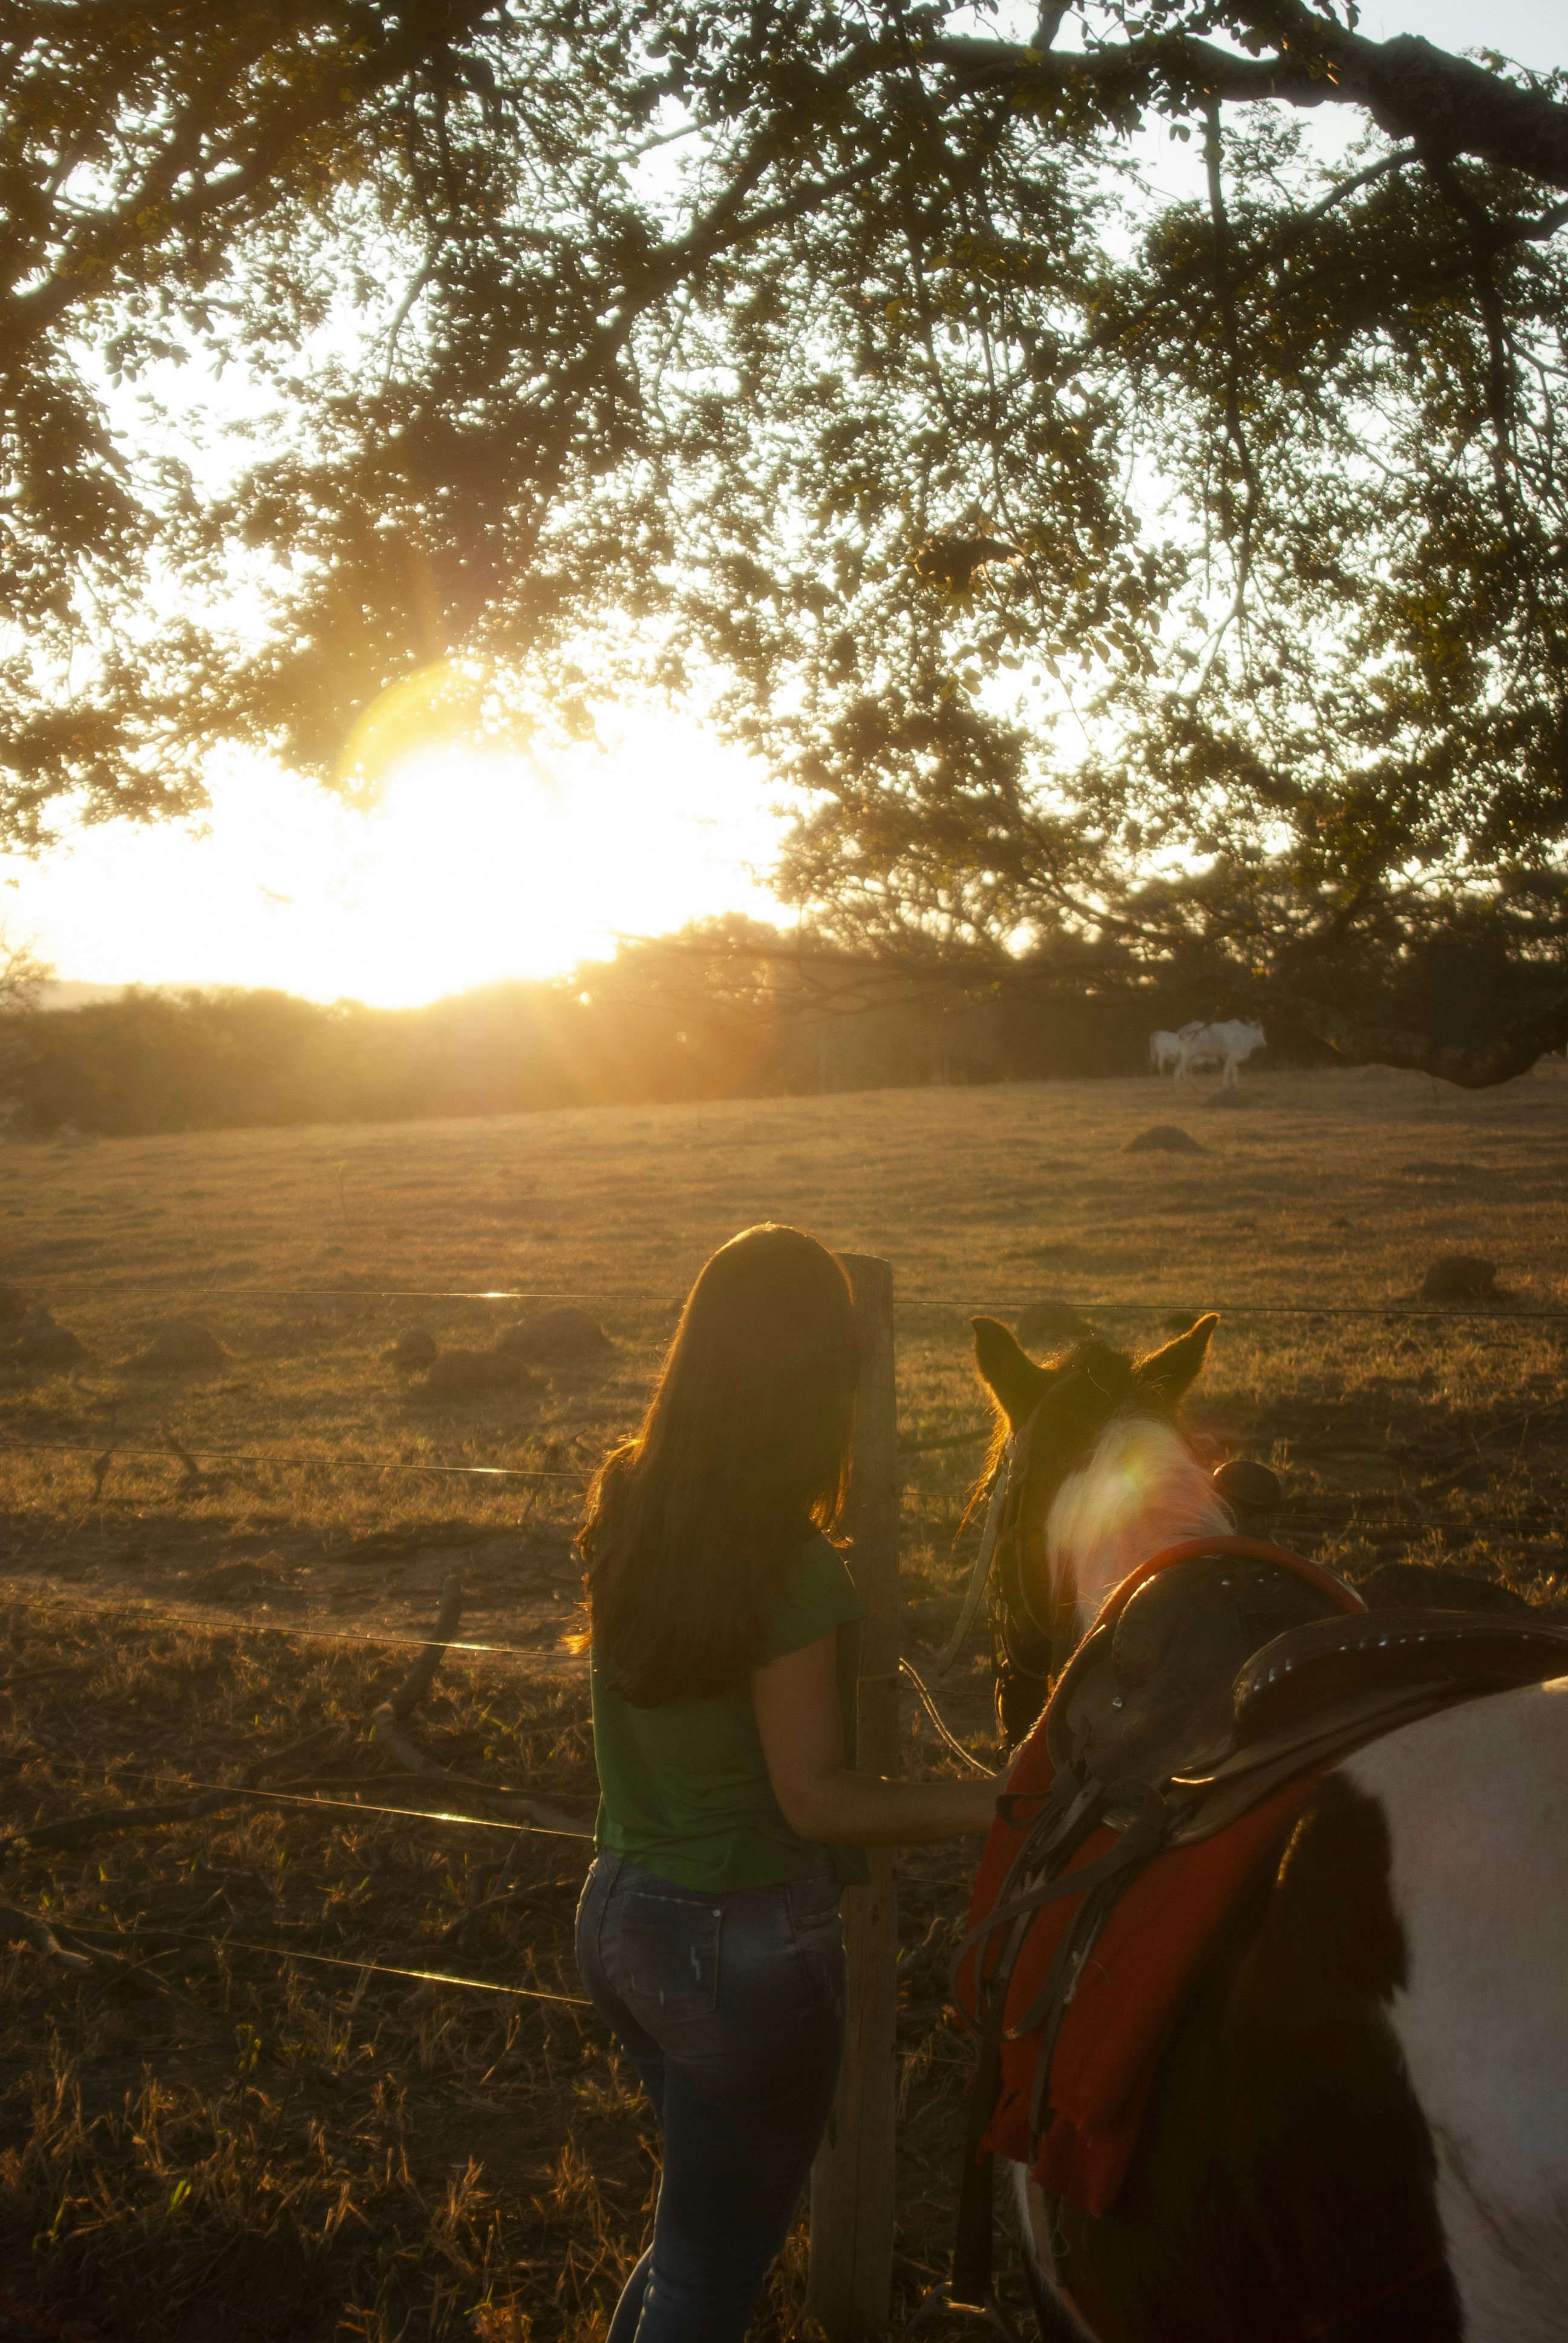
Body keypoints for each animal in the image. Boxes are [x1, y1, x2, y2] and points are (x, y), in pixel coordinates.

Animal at [1174, 1019, 1265, 1088]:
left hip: (1187, 1053)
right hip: (1189, 1053)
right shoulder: (1232, 1055)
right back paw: (1175, 1088)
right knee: (1179, 1068)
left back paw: (1193, 1087)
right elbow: (1227, 1070)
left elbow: (1235, 1070)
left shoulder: (1227, 1057)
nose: (1265, 1043)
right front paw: (1226, 1086)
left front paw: (1234, 1085)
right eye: (1262, 1031)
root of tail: (1181, 1031)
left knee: (1184, 1070)